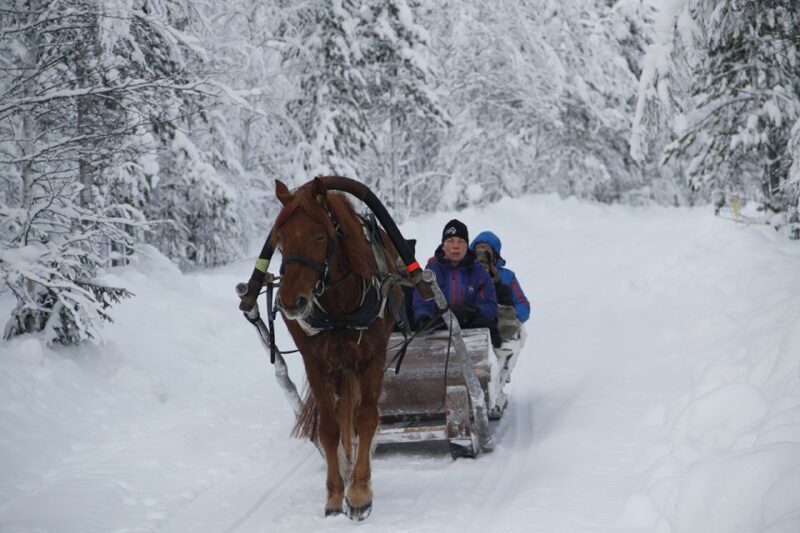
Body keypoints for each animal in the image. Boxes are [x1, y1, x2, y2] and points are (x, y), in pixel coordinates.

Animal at [271, 177, 399, 520]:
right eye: (280, 238)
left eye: (319, 235)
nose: (291, 301)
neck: (339, 305)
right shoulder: (315, 361)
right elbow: (329, 428)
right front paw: (334, 494)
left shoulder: (372, 356)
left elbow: (366, 418)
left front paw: (359, 494)